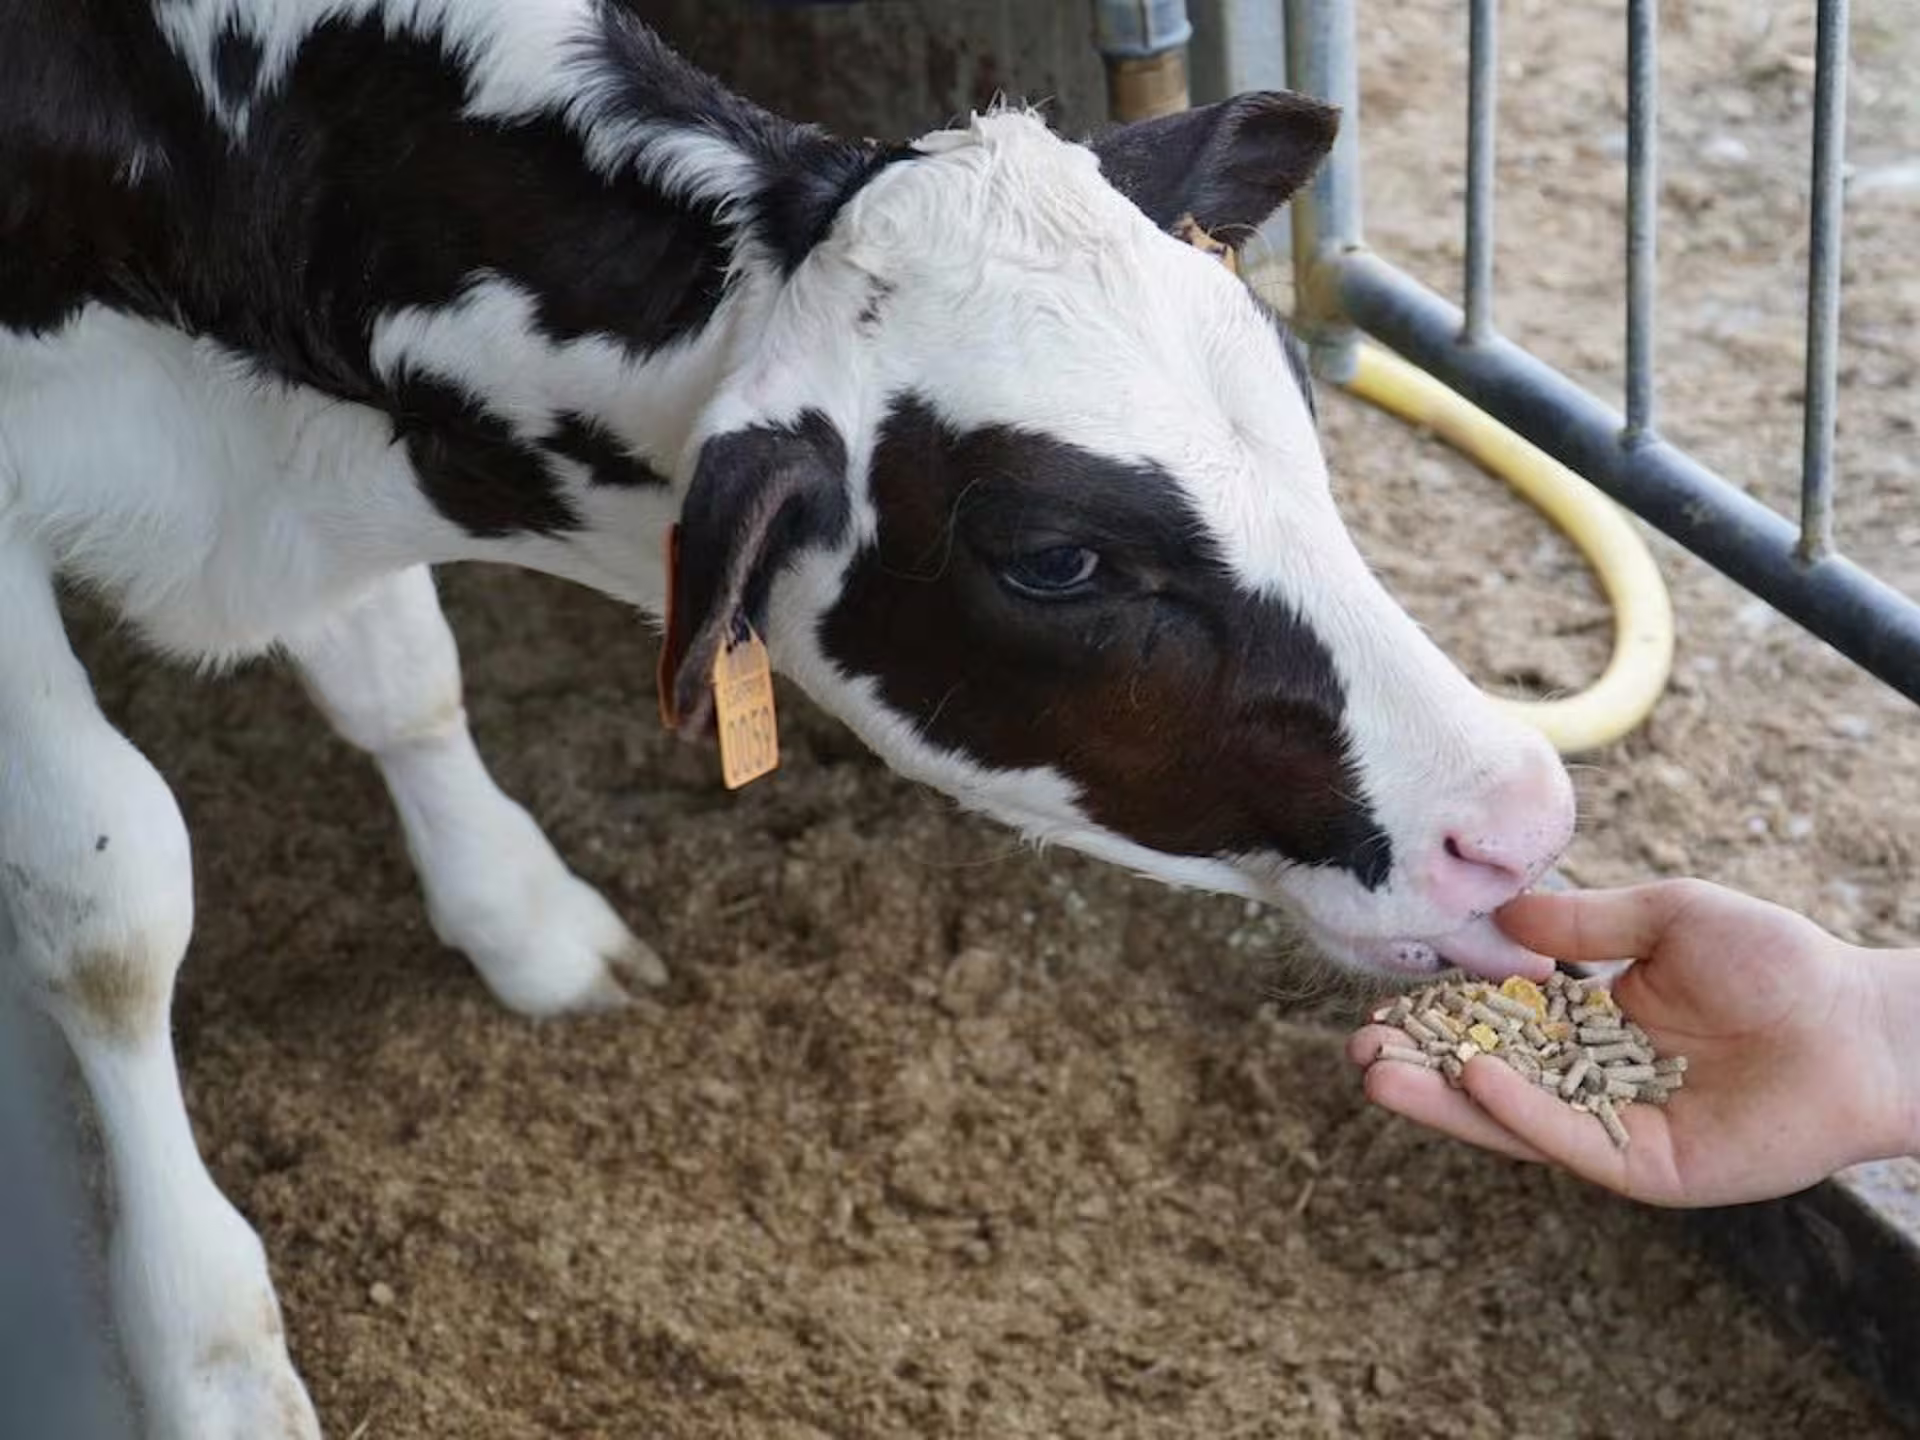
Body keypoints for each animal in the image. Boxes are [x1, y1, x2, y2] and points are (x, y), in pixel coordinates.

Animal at [0, 2, 1575, 1434]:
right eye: (1057, 560)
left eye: (1296, 396)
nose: (1520, 820)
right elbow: (111, 904)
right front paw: (209, 1355)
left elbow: (403, 675)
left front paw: (526, 921)